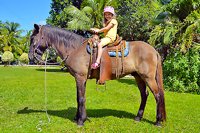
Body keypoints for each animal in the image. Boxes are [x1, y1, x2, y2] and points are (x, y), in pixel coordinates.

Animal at [28, 23, 166, 125]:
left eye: (32, 39)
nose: (30, 57)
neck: (75, 48)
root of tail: (154, 50)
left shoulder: (80, 77)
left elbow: (81, 98)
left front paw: (81, 121)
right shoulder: (80, 79)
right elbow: (79, 98)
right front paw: (79, 117)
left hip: (148, 77)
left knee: (158, 95)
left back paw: (158, 121)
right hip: (138, 77)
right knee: (144, 95)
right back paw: (138, 117)